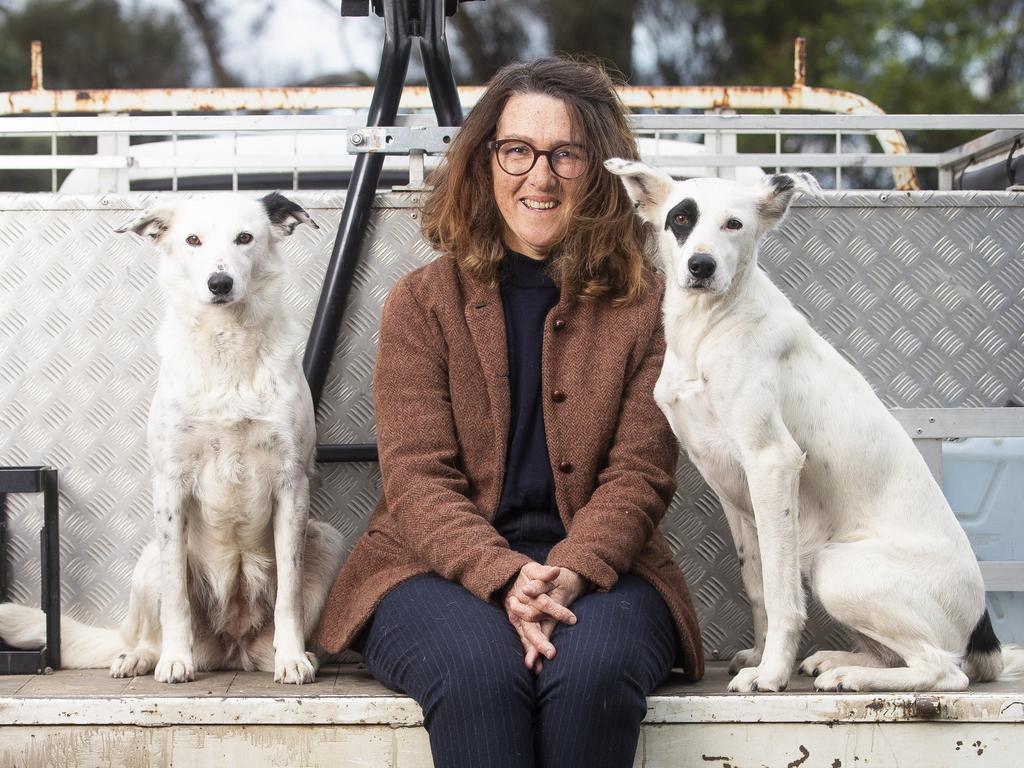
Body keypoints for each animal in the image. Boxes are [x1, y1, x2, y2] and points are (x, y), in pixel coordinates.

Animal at [0, 192, 346, 684]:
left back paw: (290, 655)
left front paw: (293, 658)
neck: (225, 346)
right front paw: (175, 660)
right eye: (192, 240)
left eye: (245, 237)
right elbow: (176, 597)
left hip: (327, 539)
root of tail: (232, 648)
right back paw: (144, 657)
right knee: (150, 628)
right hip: (149, 561)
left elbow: (289, 595)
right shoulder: (170, 485)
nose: (219, 283)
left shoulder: (292, 483)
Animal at [602, 159, 1019, 696]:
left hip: (836, 568)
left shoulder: (772, 462)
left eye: (734, 224)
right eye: (680, 219)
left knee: (943, 669)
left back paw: (851, 675)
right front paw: (759, 655)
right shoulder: (733, 489)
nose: (701, 266)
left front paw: (771, 673)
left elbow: (782, 595)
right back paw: (840, 660)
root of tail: (982, 629)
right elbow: (758, 587)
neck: (707, 329)